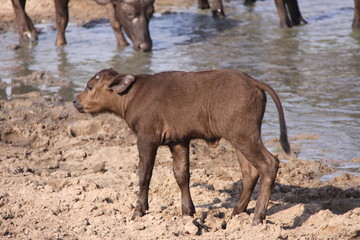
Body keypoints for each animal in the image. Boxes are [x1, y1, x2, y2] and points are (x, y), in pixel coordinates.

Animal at [74, 68, 292, 225]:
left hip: (244, 136)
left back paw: (257, 217)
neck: (133, 94)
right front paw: (188, 211)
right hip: (240, 137)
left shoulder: (146, 139)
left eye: (90, 86)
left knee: (269, 164)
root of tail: (251, 81)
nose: (75, 100)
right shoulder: (178, 141)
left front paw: (139, 211)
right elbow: (181, 175)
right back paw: (236, 212)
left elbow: (144, 175)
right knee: (250, 172)